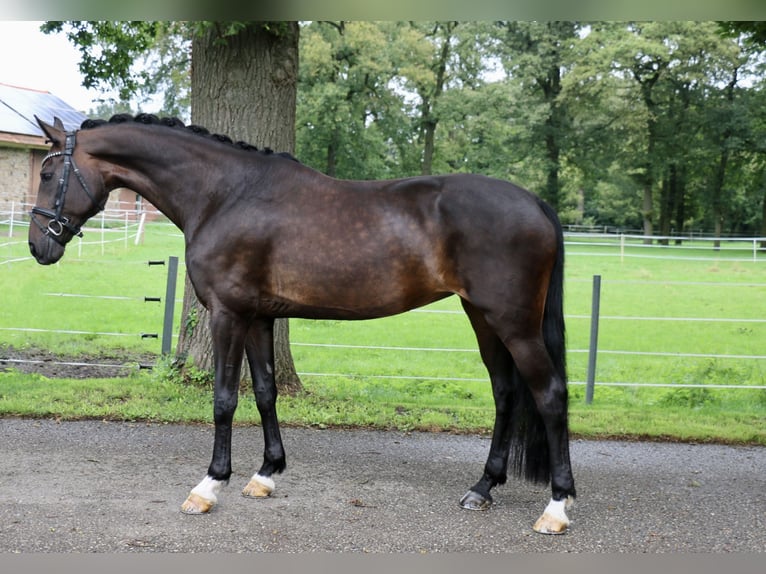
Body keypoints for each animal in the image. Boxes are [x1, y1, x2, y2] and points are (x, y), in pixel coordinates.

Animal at [27, 115, 576, 536]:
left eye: (50, 173)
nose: (38, 246)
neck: (225, 194)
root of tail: (535, 203)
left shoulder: (228, 314)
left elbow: (224, 399)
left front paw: (209, 485)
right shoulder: (258, 318)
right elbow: (265, 390)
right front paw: (266, 475)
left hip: (514, 324)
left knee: (549, 395)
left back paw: (556, 507)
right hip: (482, 318)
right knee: (506, 393)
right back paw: (482, 488)